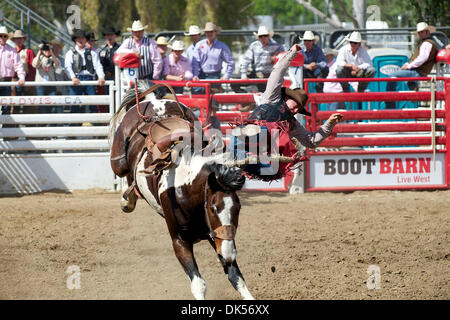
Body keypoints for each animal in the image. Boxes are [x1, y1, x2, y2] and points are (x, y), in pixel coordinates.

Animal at [109, 80, 255, 300]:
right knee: (124, 173)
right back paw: (127, 200)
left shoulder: (219, 237)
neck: (184, 191)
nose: (229, 254)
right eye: (213, 208)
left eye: (238, 209)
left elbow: (236, 277)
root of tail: (152, 101)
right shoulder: (180, 242)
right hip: (117, 159)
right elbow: (199, 284)